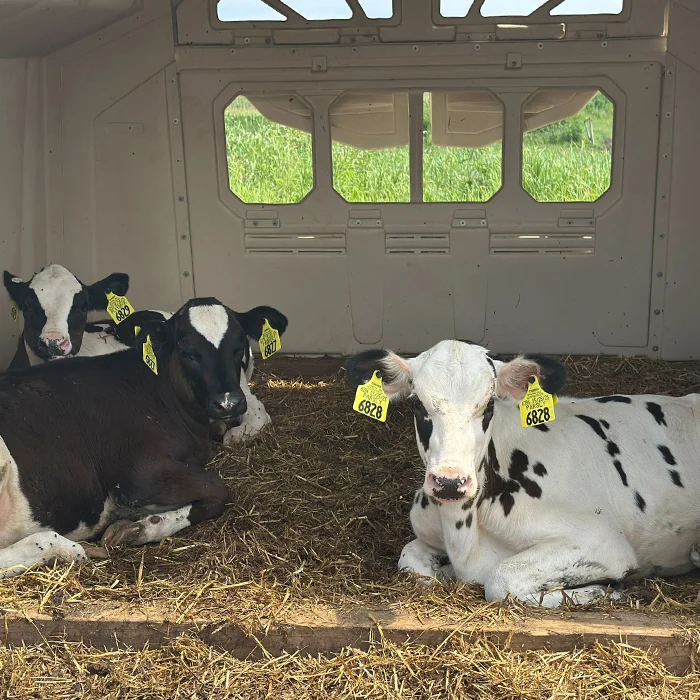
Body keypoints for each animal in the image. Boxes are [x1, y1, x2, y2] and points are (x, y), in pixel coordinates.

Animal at [0, 297, 285, 578]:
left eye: (239, 347)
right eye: (187, 351)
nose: (229, 403)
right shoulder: (137, 476)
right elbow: (218, 489)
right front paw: (142, 527)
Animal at [346, 340, 700, 608]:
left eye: (488, 406)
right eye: (418, 405)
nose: (450, 481)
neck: (464, 534)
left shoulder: (601, 540)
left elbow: (501, 580)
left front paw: (604, 591)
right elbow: (411, 563)